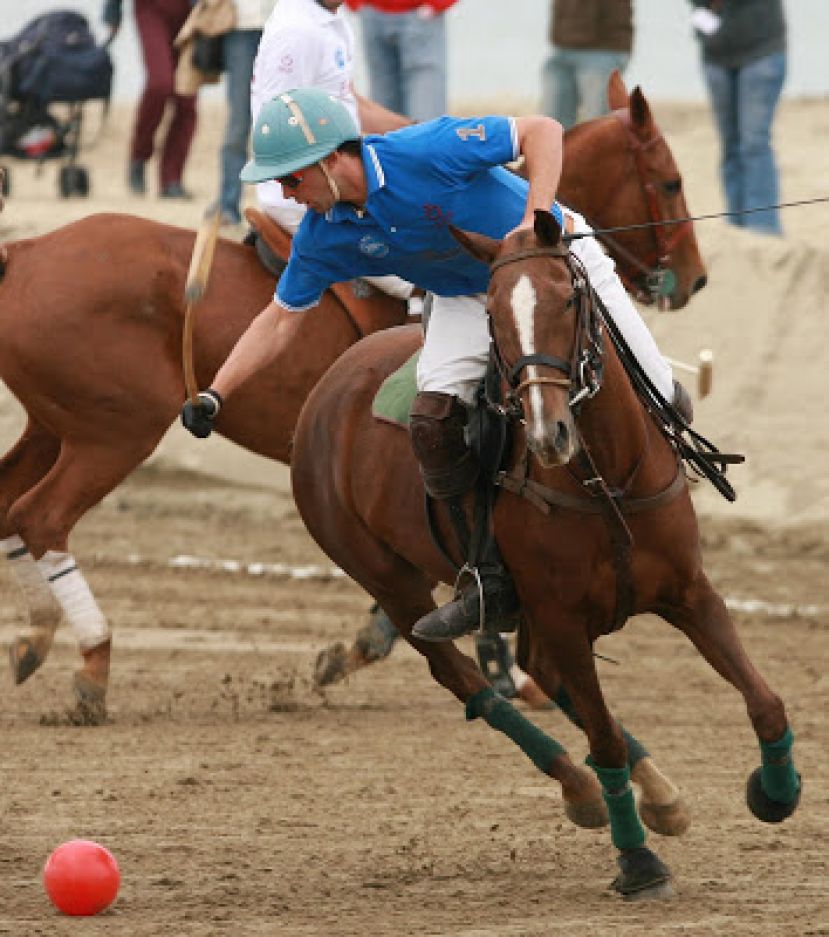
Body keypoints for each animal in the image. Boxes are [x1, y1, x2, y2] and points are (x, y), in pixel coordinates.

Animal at [0, 77, 704, 716]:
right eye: (670, 181)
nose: (694, 280)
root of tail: (25, 250)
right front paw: (497, 666)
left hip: (53, 425)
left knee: (11, 510)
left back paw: (34, 640)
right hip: (114, 431)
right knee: (41, 516)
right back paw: (92, 663)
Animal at [292, 216, 804, 896]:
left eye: (567, 300)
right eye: (492, 315)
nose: (547, 434)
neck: (607, 479)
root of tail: (332, 376)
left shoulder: (690, 591)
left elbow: (764, 699)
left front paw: (776, 791)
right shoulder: (560, 616)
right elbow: (604, 736)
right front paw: (637, 863)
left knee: (548, 679)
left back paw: (658, 794)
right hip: (385, 575)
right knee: (465, 679)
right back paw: (580, 783)